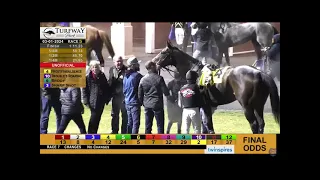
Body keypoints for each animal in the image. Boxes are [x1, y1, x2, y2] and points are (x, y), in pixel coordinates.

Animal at [152, 40, 280, 134]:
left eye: (163, 52)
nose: (153, 62)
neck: (196, 72)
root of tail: (259, 72)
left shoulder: (205, 105)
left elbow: (208, 126)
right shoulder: (208, 106)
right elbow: (206, 126)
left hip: (247, 106)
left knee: (254, 124)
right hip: (259, 104)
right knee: (261, 123)